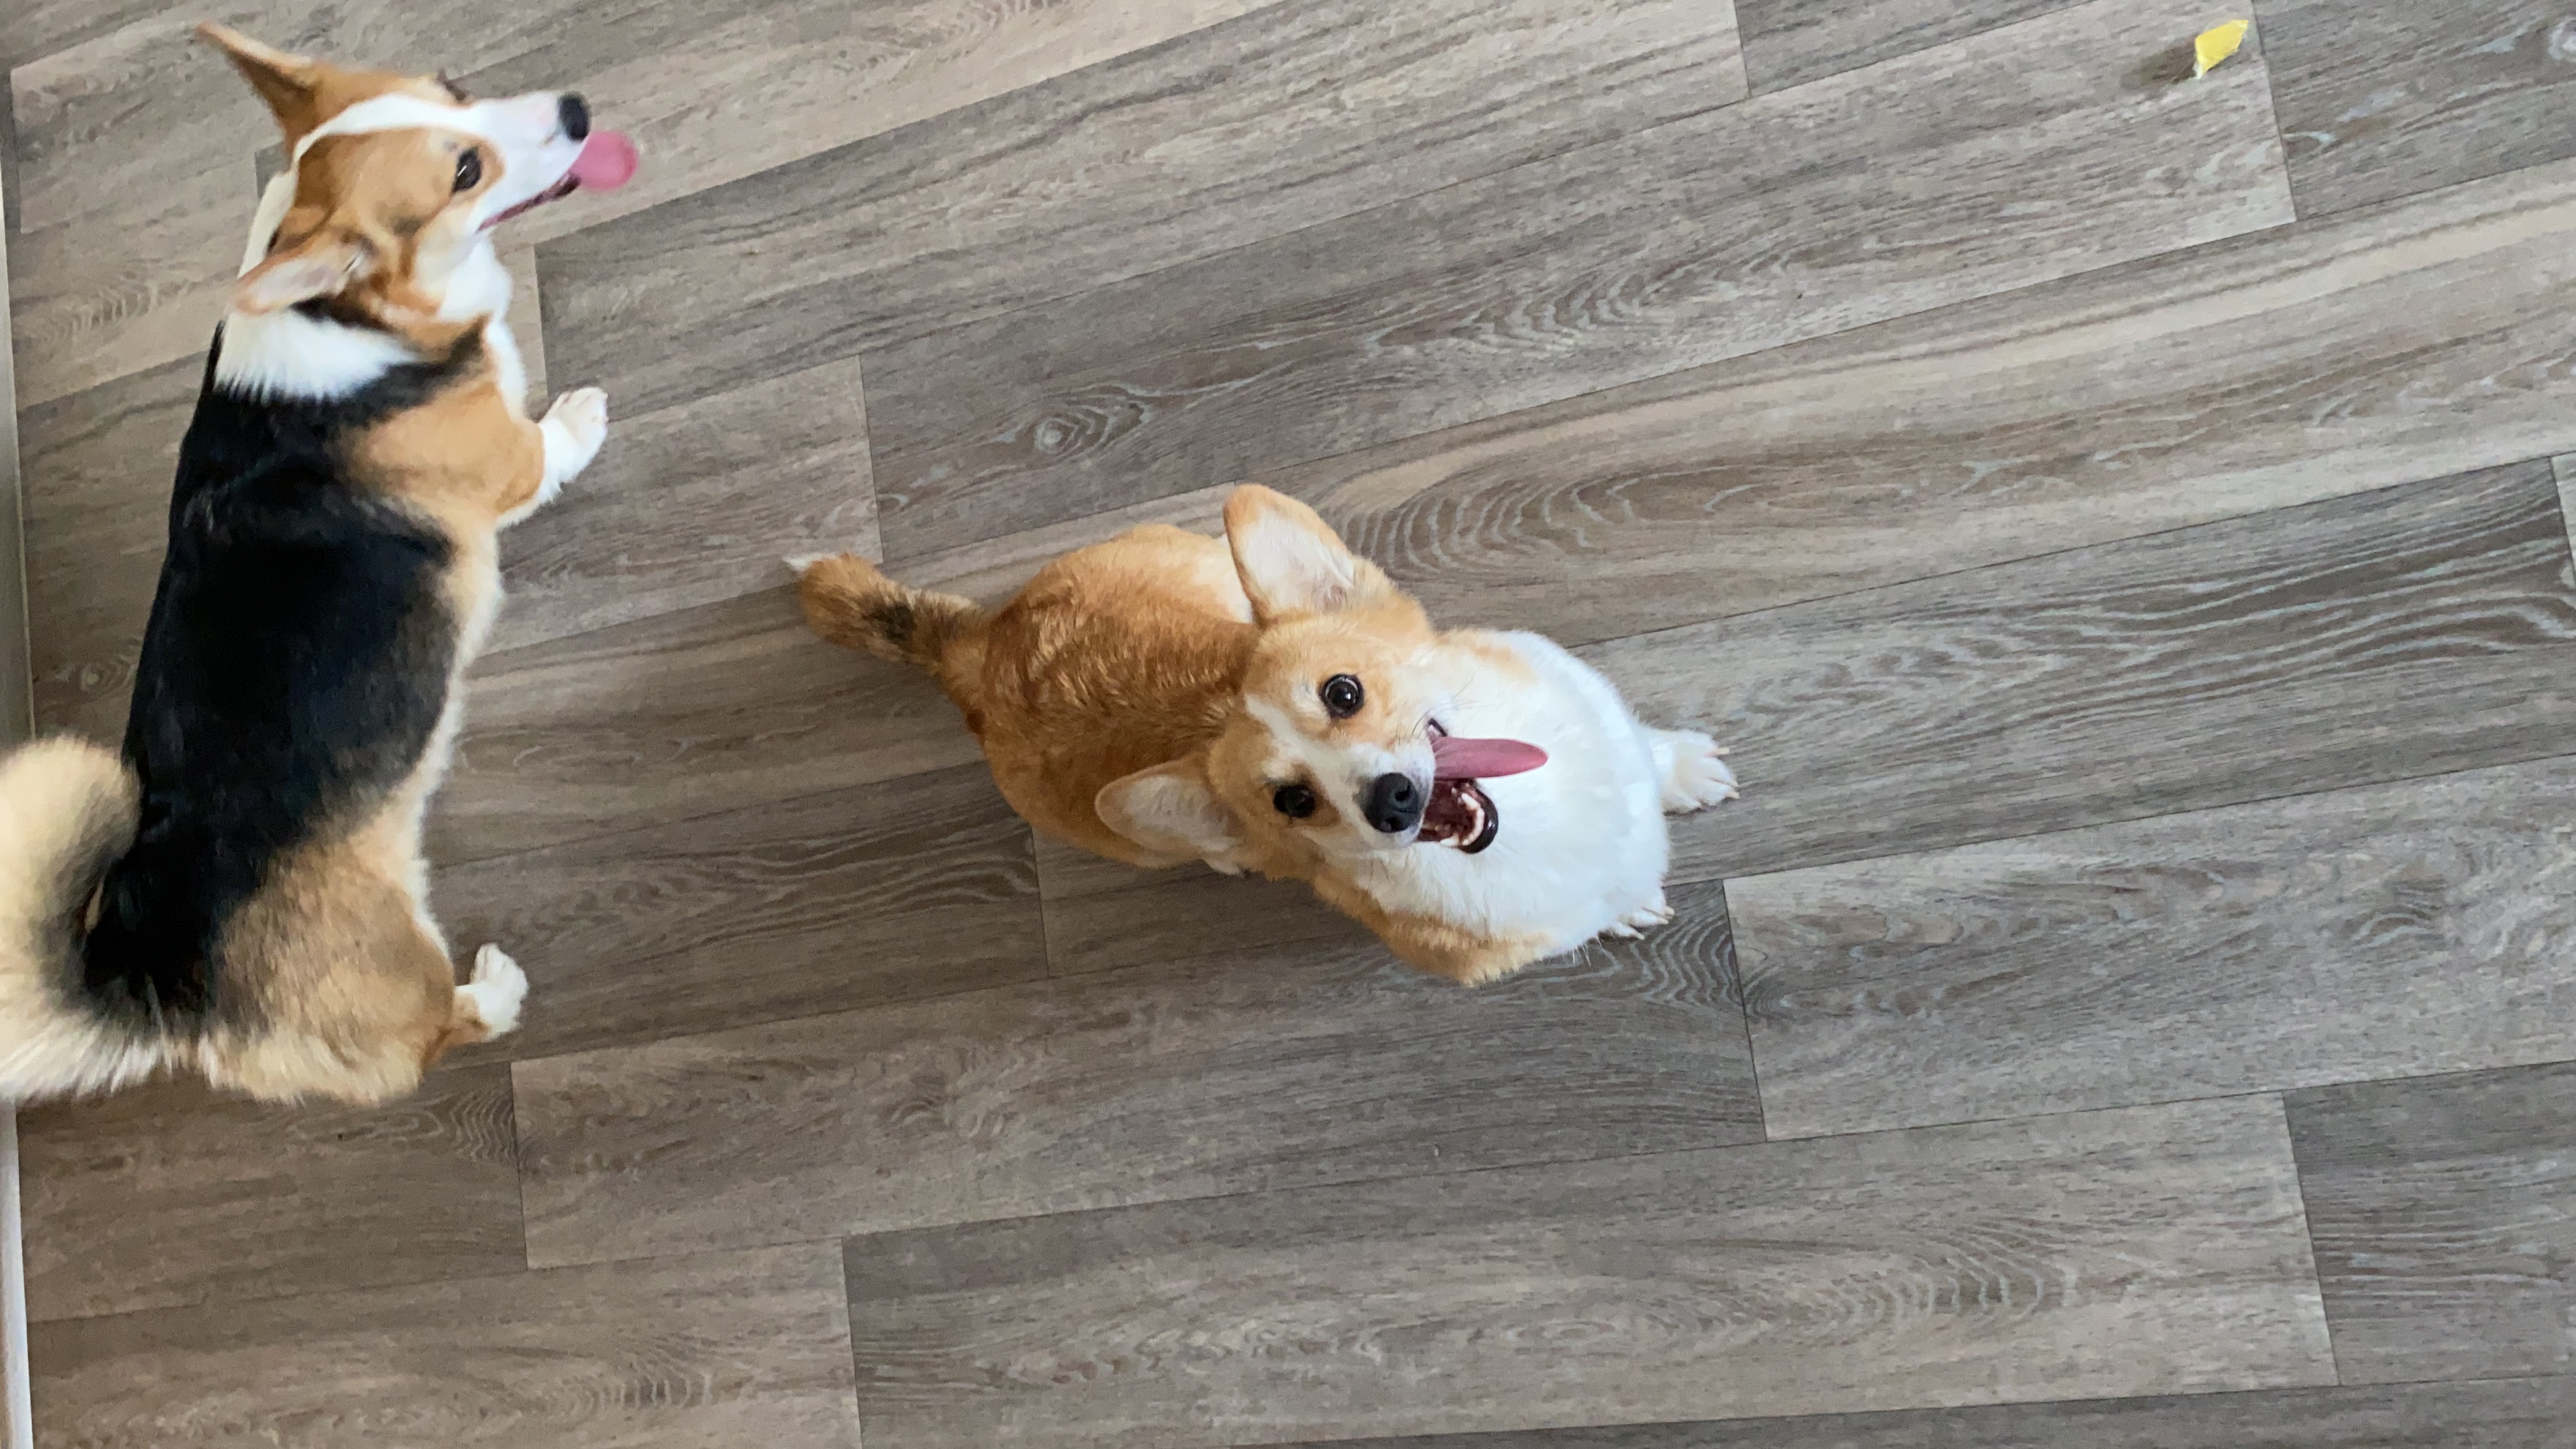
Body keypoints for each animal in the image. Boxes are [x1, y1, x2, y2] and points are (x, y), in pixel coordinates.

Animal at [0, 25, 635, 1103]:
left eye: (454, 87)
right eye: (464, 171)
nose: (579, 109)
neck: (356, 316)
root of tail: (160, 984)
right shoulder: (506, 462)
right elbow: (548, 446)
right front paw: (580, 418)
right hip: (399, 962)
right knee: (438, 1034)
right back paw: (495, 990)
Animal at [797, 486, 1738, 984]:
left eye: (1343, 691)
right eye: (1293, 801)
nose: (1392, 802)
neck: (1544, 821)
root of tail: (980, 651)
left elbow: (1644, 751)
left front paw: (1682, 772)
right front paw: (1627, 908)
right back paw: (1225, 857)